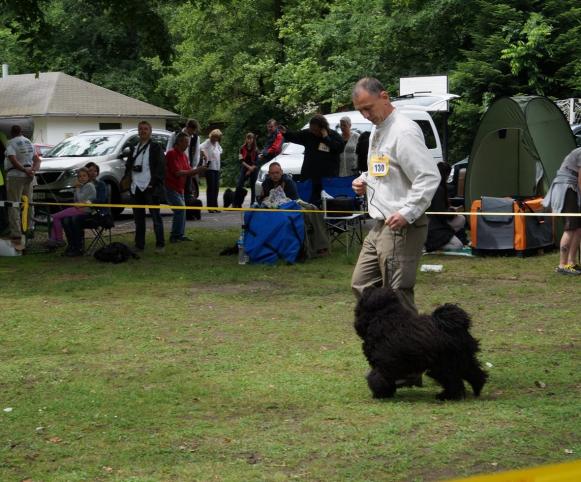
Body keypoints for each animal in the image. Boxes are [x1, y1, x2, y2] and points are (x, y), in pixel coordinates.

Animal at [354, 286, 484, 400]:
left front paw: (380, 394)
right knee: (475, 373)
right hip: (462, 359)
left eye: (368, 293)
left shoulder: (384, 365)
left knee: (453, 381)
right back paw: (477, 389)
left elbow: (377, 379)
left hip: (443, 365)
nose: (368, 287)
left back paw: (448, 396)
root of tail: (456, 325)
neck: (387, 319)